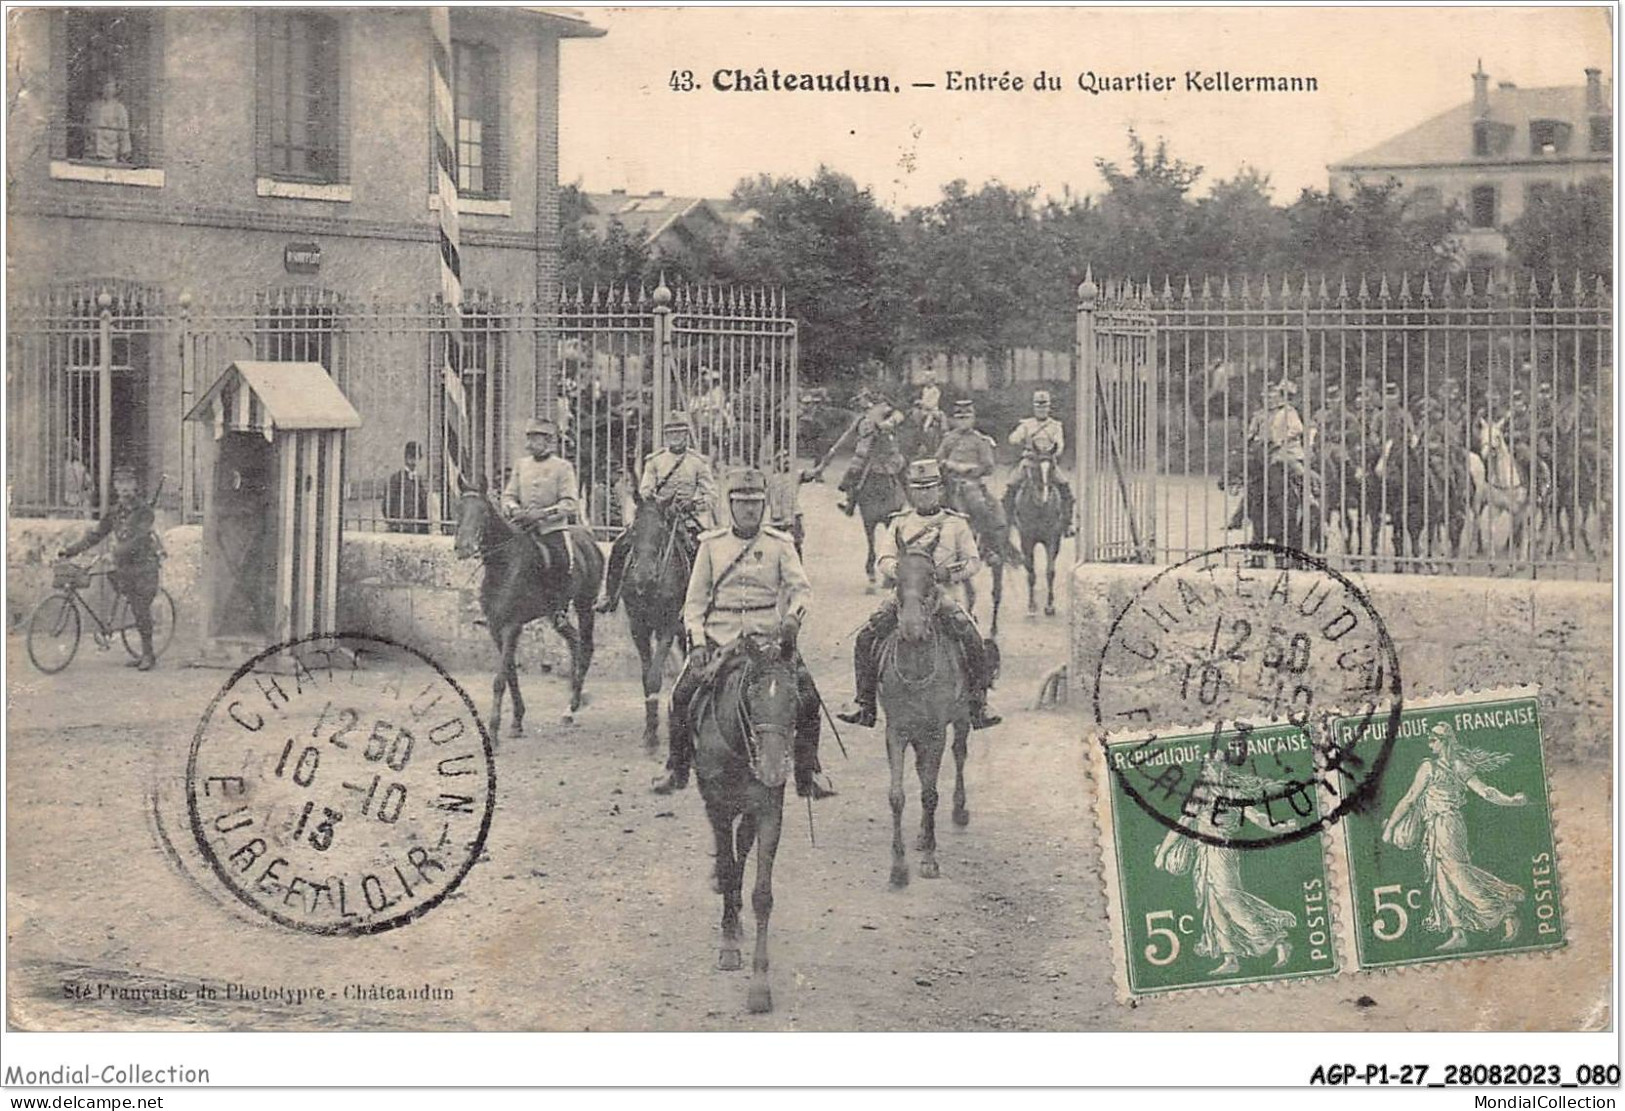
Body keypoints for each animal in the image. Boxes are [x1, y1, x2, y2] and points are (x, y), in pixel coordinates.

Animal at [451, 493, 604, 737]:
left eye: (483, 512)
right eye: (459, 509)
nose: (463, 547)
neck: (503, 564)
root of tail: (589, 538)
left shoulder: (512, 627)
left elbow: (500, 679)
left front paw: (493, 730)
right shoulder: (496, 628)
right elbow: (511, 673)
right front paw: (517, 720)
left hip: (585, 605)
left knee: (587, 648)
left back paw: (572, 707)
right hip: (555, 614)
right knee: (574, 641)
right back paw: (572, 696)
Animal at [614, 500, 692, 750]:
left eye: (660, 530)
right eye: (634, 530)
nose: (643, 577)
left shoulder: (668, 626)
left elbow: (654, 676)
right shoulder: (638, 628)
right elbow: (646, 677)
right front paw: (650, 730)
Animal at [695, 630, 802, 1013]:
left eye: (795, 696)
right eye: (751, 695)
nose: (771, 768)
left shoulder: (768, 811)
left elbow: (762, 895)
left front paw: (759, 986)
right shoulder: (717, 807)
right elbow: (727, 869)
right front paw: (728, 947)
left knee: (742, 846)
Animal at [1001, 454, 1066, 620]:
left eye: (1052, 468)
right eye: (1035, 468)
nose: (1044, 497)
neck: (1039, 509)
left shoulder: (1052, 540)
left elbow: (1050, 572)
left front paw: (1049, 606)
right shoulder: (1027, 541)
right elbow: (1030, 572)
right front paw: (1031, 606)